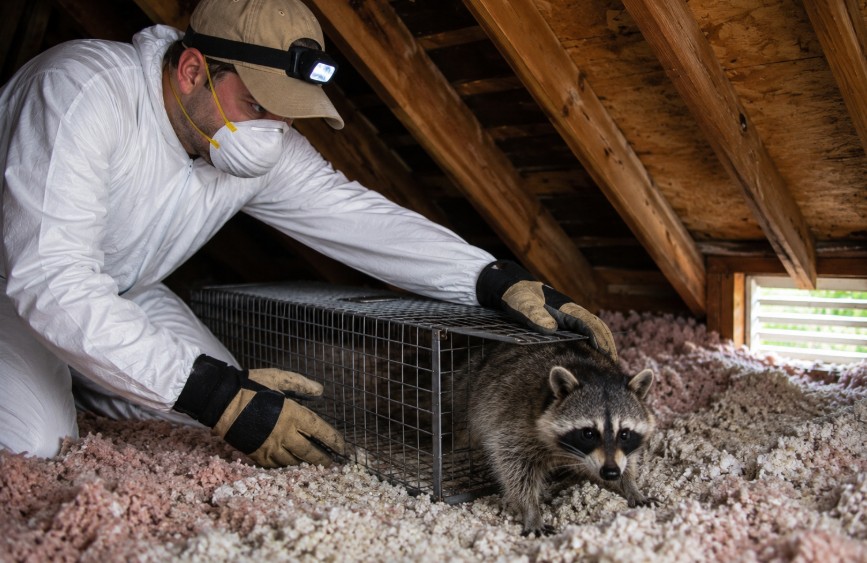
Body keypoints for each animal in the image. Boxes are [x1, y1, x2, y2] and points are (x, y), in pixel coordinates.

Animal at [469, 340, 656, 536]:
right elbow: (514, 465)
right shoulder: (518, 421)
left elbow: (628, 459)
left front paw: (630, 484)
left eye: (624, 434)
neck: (592, 373)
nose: (611, 473)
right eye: (588, 433)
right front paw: (530, 509)